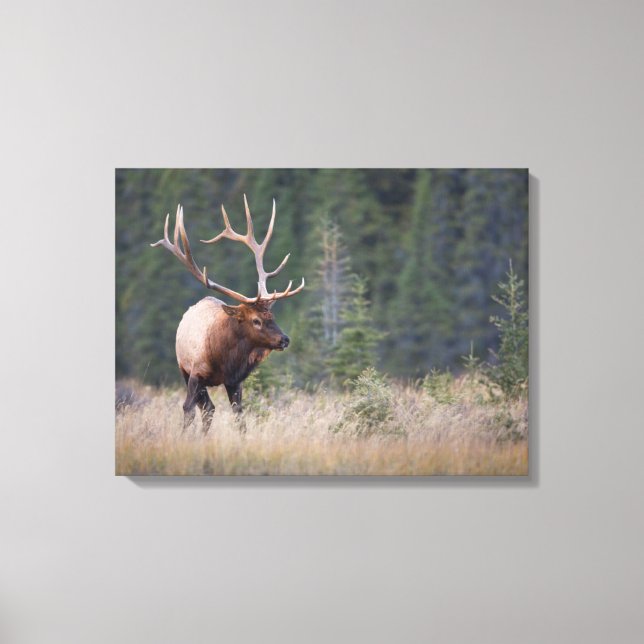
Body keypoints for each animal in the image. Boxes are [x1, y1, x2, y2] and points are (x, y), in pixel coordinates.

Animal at [151, 195, 304, 433]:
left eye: (273, 317)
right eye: (256, 320)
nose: (284, 339)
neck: (224, 359)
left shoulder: (235, 381)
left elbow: (239, 416)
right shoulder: (195, 373)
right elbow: (187, 409)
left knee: (209, 408)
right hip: (184, 370)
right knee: (205, 408)